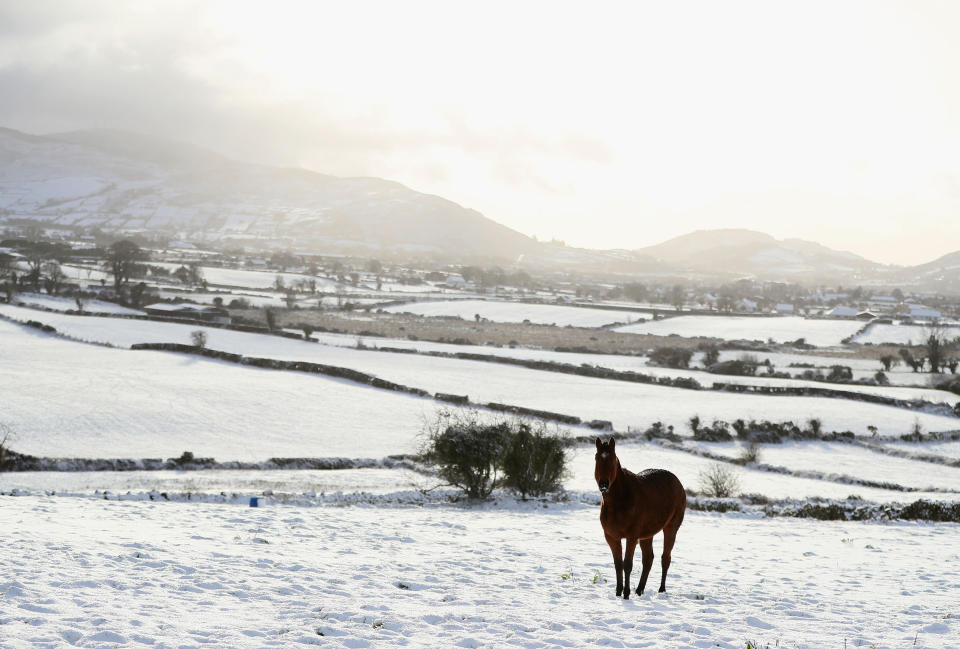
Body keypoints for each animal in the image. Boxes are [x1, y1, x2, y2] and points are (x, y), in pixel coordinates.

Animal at [596, 436, 688, 596]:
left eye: (613, 459)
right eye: (596, 458)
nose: (603, 484)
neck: (619, 500)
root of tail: (678, 482)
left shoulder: (632, 537)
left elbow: (627, 565)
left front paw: (626, 593)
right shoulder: (612, 537)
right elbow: (618, 564)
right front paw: (618, 592)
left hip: (671, 528)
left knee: (665, 558)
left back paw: (661, 589)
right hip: (647, 535)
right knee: (648, 559)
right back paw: (639, 590)